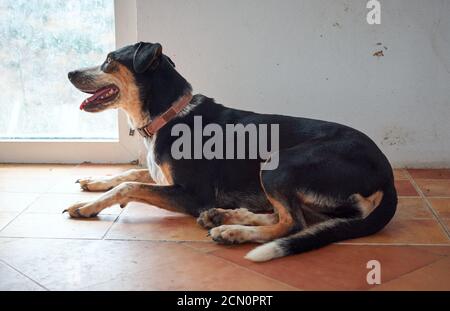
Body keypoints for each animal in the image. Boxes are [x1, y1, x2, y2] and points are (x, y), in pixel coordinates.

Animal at [65, 40, 396, 260]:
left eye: (109, 60)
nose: (70, 73)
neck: (170, 114)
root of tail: (387, 174)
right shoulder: (160, 173)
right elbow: (129, 173)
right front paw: (94, 181)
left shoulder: (194, 195)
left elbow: (129, 186)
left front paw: (87, 207)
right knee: (291, 216)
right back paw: (225, 217)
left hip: (279, 164)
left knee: (292, 223)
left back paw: (233, 231)